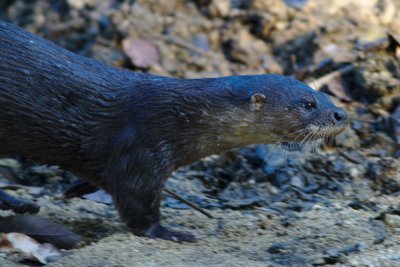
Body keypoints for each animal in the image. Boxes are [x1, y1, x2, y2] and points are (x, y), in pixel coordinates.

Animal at [0, 21, 346, 243]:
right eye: (308, 103)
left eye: (323, 93)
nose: (341, 114)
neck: (178, 117)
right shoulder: (140, 148)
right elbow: (137, 204)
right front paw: (169, 233)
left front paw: (76, 188)